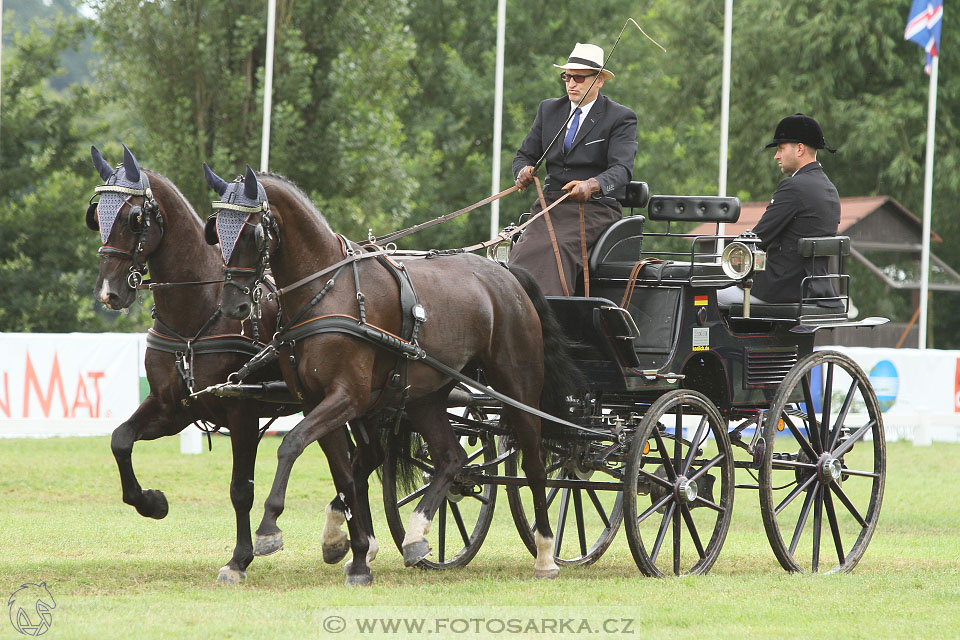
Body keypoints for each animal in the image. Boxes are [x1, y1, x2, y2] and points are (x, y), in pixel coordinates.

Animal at [88, 146, 308, 584]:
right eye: (95, 215)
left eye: (133, 218)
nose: (109, 293)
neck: (199, 313)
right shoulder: (173, 407)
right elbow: (121, 439)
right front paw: (152, 502)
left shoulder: (242, 411)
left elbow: (241, 489)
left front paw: (239, 559)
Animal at [202, 164, 576, 580]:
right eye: (214, 230)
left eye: (252, 232)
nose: (232, 305)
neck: (326, 291)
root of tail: (507, 274)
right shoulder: (318, 401)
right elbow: (344, 473)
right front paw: (350, 550)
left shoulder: (347, 397)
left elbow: (292, 444)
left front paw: (269, 528)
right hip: (426, 396)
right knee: (450, 458)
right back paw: (415, 537)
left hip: (518, 387)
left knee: (535, 463)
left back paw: (546, 553)